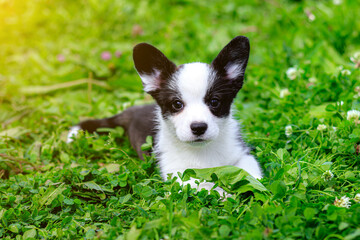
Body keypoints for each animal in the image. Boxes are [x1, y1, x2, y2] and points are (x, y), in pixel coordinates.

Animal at [68, 35, 262, 193]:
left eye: (215, 102)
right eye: (177, 104)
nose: (198, 127)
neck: (201, 151)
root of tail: (131, 111)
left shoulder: (241, 154)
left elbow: (250, 174)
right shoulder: (177, 173)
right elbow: (203, 185)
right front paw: (223, 194)